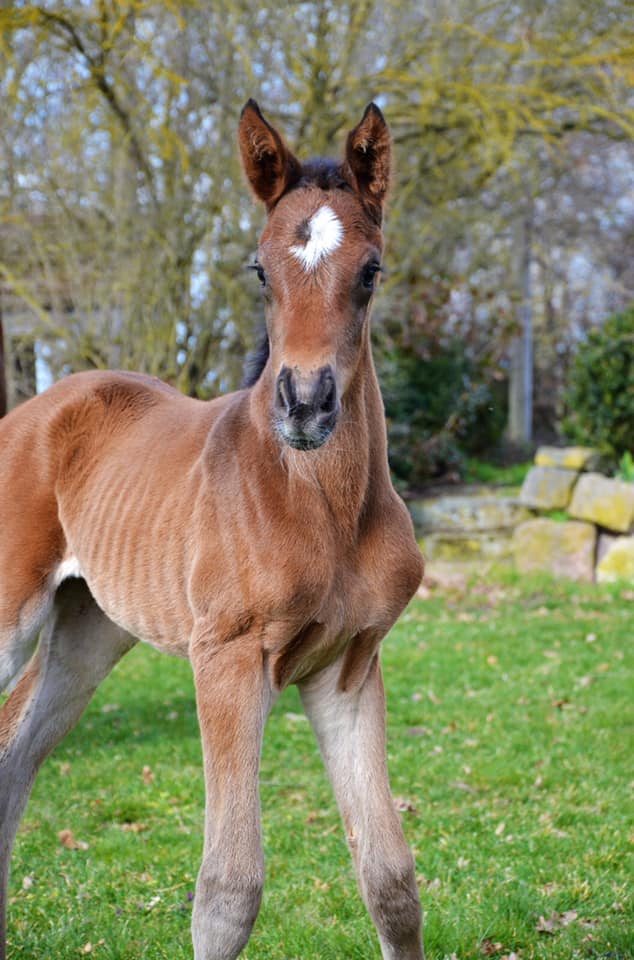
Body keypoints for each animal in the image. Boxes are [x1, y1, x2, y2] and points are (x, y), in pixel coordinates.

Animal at [0, 101, 428, 956]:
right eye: (260, 270)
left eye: (370, 271)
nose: (305, 404)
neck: (322, 508)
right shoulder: (227, 659)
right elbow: (228, 891)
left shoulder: (349, 668)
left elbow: (390, 880)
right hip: (11, 611)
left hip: (90, 630)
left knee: (16, 758)